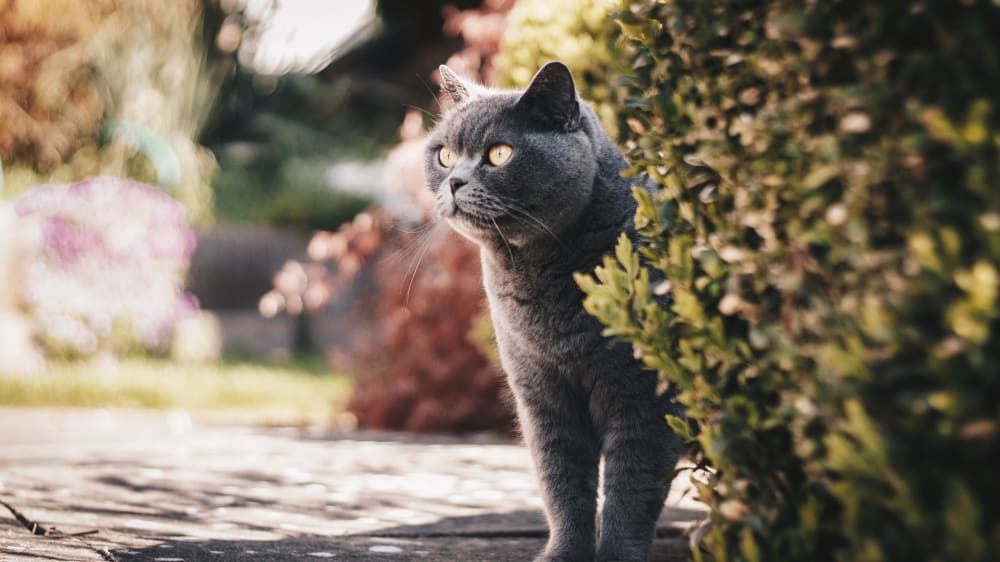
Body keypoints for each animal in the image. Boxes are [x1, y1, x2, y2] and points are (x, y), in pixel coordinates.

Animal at [426, 61, 684, 560]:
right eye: (444, 155)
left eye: (500, 153)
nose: (454, 181)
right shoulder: (542, 395)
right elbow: (561, 482)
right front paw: (564, 552)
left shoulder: (646, 398)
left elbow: (632, 487)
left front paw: (616, 554)